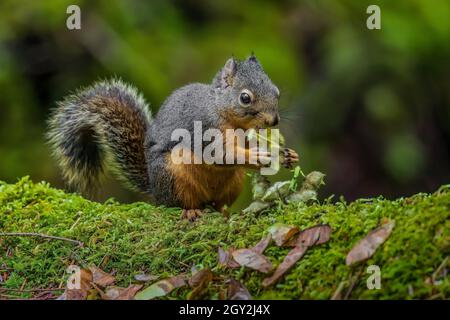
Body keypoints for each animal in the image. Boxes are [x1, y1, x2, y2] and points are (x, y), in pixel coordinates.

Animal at [47, 55, 298, 220]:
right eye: (245, 98)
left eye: (276, 92)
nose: (273, 121)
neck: (220, 109)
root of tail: (155, 190)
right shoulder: (204, 128)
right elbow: (220, 154)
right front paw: (258, 156)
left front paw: (287, 155)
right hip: (174, 175)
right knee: (178, 204)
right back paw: (190, 210)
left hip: (233, 183)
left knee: (217, 204)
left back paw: (223, 211)